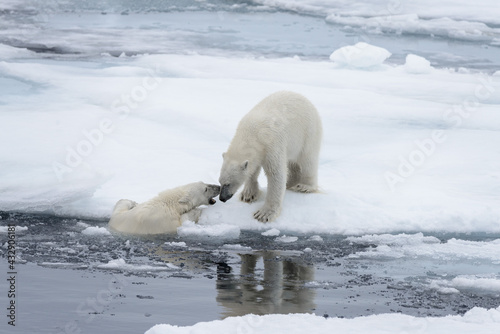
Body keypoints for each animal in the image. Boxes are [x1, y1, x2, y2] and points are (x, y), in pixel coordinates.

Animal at [218, 90, 320, 223]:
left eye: (228, 183)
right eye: (220, 182)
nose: (221, 198)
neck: (252, 133)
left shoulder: (272, 143)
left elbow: (276, 174)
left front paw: (264, 214)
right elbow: (253, 169)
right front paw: (248, 194)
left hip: (308, 132)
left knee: (308, 160)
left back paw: (304, 186)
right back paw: (291, 183)